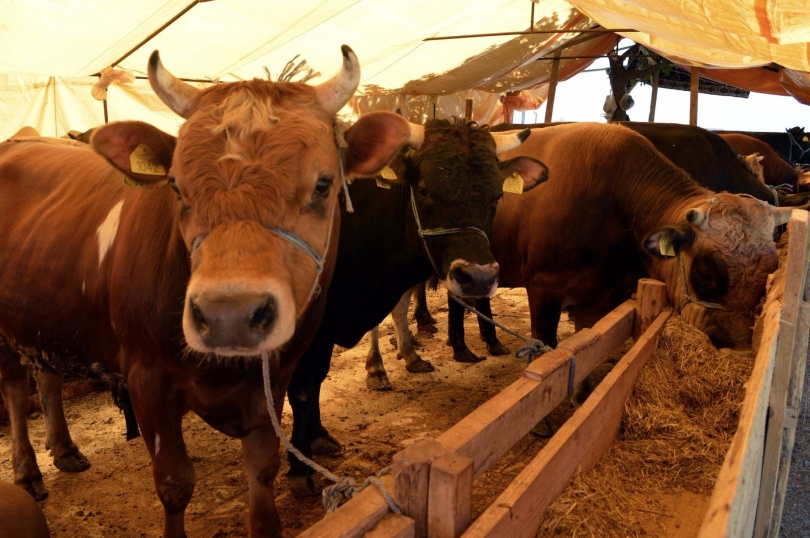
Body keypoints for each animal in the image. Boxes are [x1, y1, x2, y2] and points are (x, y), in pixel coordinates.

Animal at [0, 47, 414, 536]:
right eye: (177, 186)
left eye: (324, 184)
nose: (227, 316)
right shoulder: (148, 381)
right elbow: (175, 484)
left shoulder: (273, 378)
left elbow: (263, 472)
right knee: (14, 388)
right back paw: (28, 470)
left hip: (43, 315)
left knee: (45, 375)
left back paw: (65, 450)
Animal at [282, 118, 544, 486]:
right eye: (423, 190)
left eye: (497, 195)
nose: (478, 277)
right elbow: (303, 388)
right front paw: (299, 463)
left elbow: (316, 381)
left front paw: (317, 436)